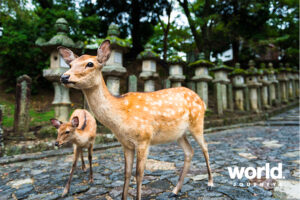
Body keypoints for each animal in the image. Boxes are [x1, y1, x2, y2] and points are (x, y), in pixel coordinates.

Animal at [58, 39, 213, 199]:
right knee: (189, 152)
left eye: (90, 63)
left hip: (197, 122)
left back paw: (210, 183)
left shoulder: (144, 139)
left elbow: (139, 175)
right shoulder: (126, 144)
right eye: (70, 64)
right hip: (179, 134)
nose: (64, 77)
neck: (119, 120)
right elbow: (126, 173)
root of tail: (202, 101)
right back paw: (175, 190)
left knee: (205, 147)